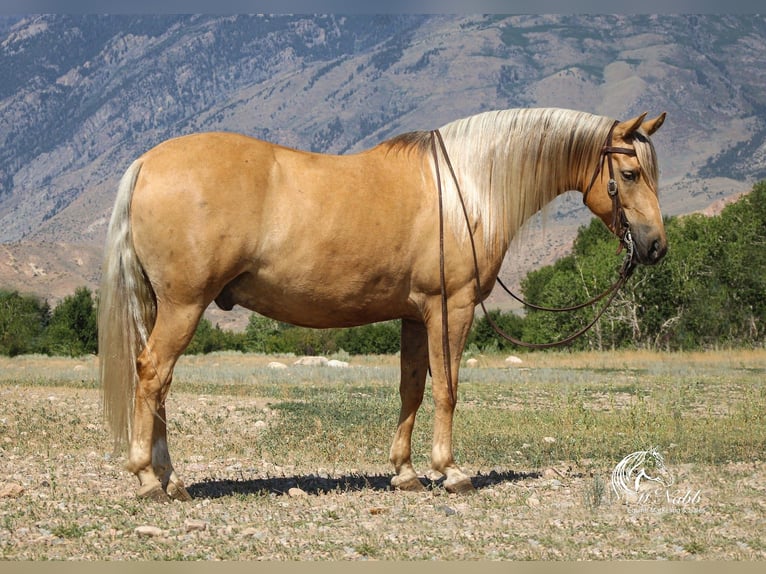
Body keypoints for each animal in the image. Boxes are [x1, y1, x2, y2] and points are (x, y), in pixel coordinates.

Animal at [98, 107, 667, 501]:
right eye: (631, 174)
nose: (656, 246)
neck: (468, 189)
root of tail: (147, 162)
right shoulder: (451, 308)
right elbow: (448, 389)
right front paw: (451, 471)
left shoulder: (415, 316)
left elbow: (412, 389)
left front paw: (406, 473)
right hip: (183, 305)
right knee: (153, 374)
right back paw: (149, 479)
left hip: (166, 307)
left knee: (160, 383)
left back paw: (171, 479)